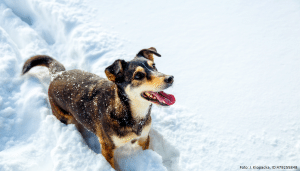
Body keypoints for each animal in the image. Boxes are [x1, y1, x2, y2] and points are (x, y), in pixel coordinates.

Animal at [21, 47, 176, 169]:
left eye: (154, 66)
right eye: (138, 75)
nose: (170, 78)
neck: (128, 113)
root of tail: (58, 75)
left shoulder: (144, 138)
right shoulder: (107, 148)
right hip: (64, 117)